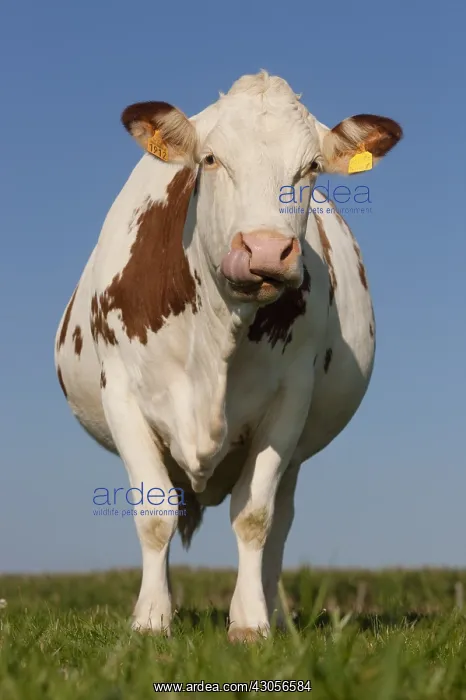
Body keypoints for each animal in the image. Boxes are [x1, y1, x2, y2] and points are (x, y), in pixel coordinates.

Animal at [54, 71, 402, 641]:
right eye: (212, 158)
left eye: (311, 167)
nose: (264, 250)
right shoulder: (122, 394)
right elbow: (154, 514)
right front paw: (150, 620)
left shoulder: (290, 400)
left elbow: (255, 518)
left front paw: (252, 622)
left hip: (298, 453)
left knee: (280, 523)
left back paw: (277, 612)